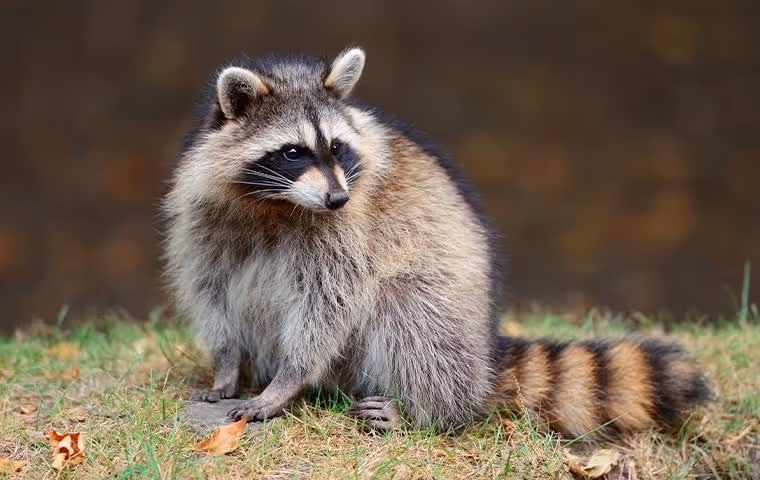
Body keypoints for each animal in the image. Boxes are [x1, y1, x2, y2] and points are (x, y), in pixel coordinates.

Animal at [163, 47, 710, 435]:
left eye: (337, 147)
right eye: (293, 152)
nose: (338, 197)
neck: (278, 203)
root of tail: (485, 349)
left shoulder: (347, 232)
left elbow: (329, 304)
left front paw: (287, 381)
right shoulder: (204, 217)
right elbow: (211, 288)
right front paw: (227, 364)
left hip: (446, 307)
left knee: (411, 313)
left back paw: (429, 411)